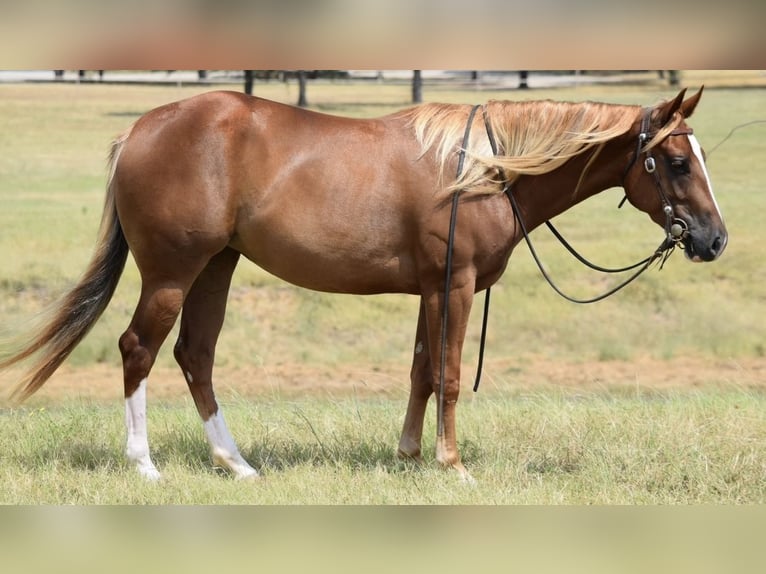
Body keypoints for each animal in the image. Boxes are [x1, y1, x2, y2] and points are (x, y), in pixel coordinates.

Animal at [0, 86, 728, 482]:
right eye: (676, 161)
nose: (713, 239)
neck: (485, 170)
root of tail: (139, 131)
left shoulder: (431, 289)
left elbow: (420, 370)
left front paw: (409, 454)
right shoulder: (454, 285)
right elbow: (448, 374)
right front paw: (451, 464)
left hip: (216, 267)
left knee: (194, 355)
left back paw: (235, 463)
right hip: (173, 272)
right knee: (139, 350)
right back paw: (144, 463)